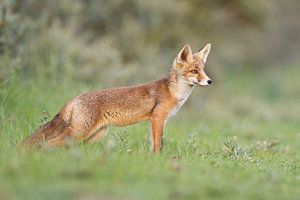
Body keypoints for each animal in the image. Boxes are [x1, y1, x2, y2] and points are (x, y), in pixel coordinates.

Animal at [22, 43, 211, 153]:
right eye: (194, 71)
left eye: (203, 70)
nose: (210, 81)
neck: (174, 92)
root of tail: (74, 98)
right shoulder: (157, 118)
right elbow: (159, 144)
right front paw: (158, 160)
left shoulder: (156, 121)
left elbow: (154, 143)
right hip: (79, 133)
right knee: (46, 144)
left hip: (94, 135)